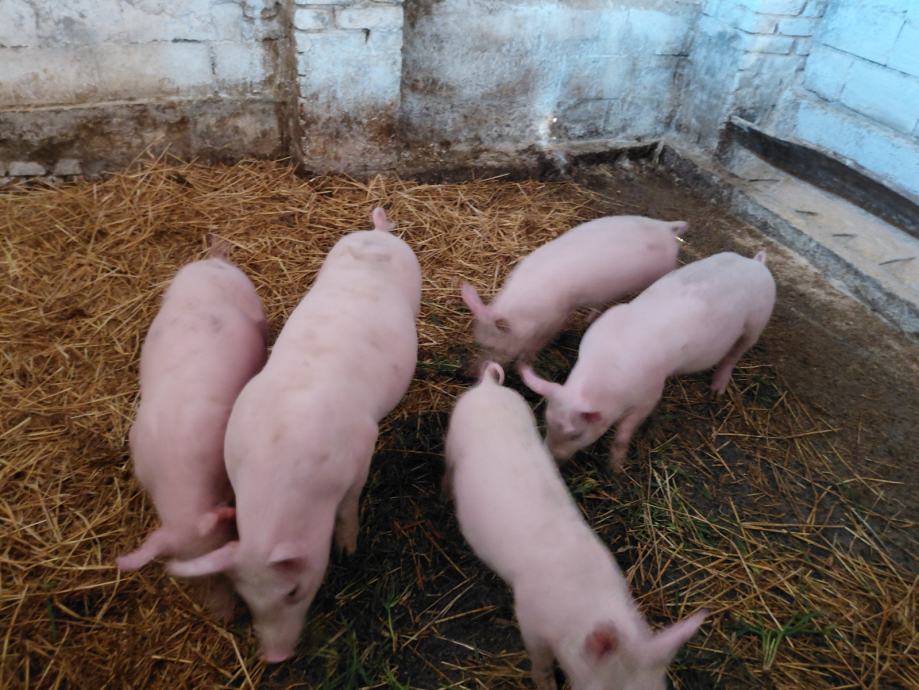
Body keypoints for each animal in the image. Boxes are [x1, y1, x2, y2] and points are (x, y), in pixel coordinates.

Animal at [168, 208, 421, 663]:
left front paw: (348, 551)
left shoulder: (363, 447)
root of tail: (377, 235)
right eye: (246, 597)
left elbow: (349, 507)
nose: (274, 657)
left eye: (293, 591)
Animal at [460, 215, 688, 368]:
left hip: (663, 270)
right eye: (478, 343)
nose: (469, 374)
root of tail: (666, 228)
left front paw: (527, 361)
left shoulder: (556, 318)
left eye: (494, 347)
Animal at [520, 250, 775, 469]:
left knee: (735, 353)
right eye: (547, 421)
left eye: (576, 434)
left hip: (758, 321)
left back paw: (716, 390)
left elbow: (625, 432)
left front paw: (615, 469)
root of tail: (756, 263)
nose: (551, 459)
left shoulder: (651, 393)